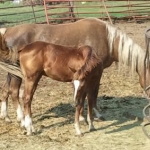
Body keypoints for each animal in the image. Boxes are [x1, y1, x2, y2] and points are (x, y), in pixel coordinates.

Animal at [0, 17, 149, 135]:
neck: (106, 39)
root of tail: (7, 32)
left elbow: (84, 96)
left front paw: (83, 118)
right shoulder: (95, 75)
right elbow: (92, 95)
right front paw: (92, 116)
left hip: (14, 72)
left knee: (7, 90)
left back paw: (7, 117)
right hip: (23, 75)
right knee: (17, 93)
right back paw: (25, 123)